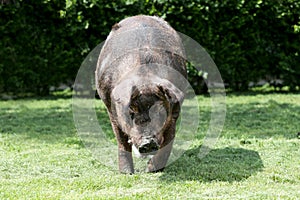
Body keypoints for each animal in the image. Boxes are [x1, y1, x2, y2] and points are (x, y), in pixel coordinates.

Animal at [95, 15, 186, 173]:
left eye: (159, 112)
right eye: (131, 113)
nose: (148, 142)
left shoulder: (174, 111)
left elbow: (168, 140)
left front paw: (152, 170)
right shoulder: (111, 111)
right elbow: (121, 141)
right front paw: (126, 173)